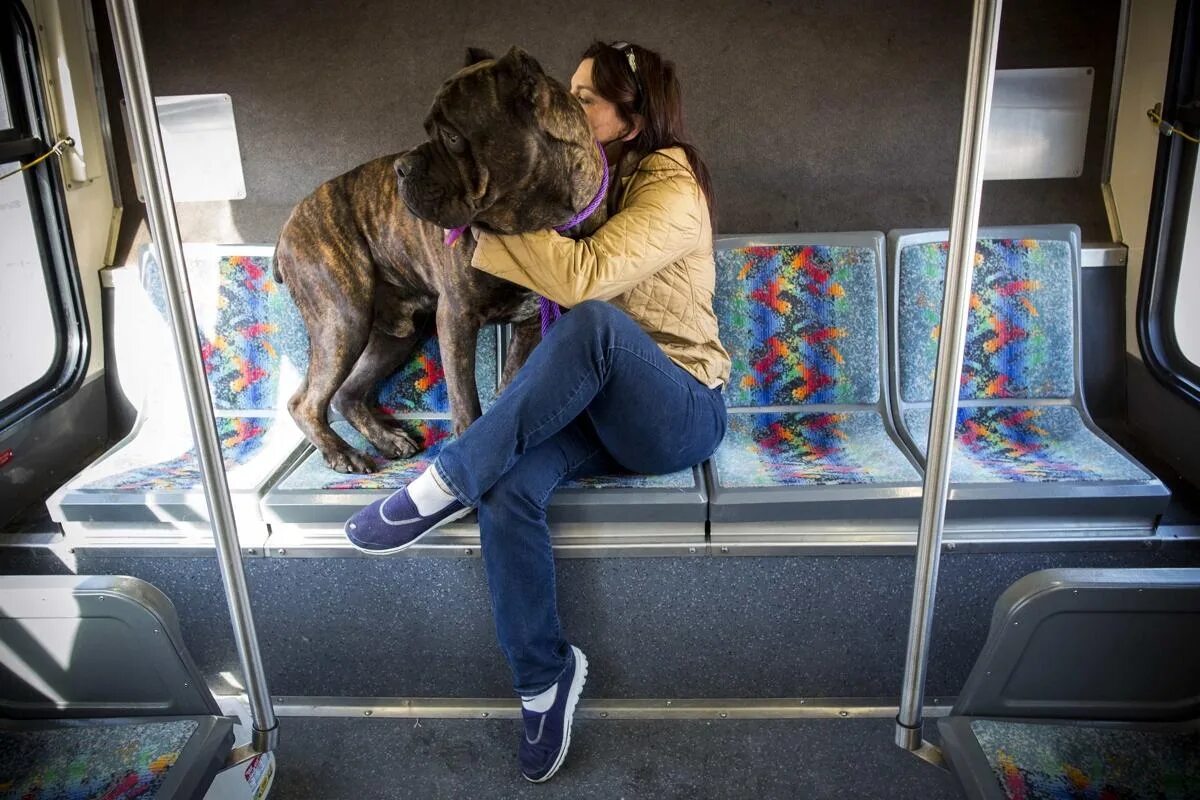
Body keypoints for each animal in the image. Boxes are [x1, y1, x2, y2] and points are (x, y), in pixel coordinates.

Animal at [276, 48, 604, 474]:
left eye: (451, 136)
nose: (401, 167)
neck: (534, 226)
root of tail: (289, 223)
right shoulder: (457, 317)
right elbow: (465, 399)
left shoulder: (531, 322)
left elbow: (514, 384)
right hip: (342, 319)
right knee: (306, 401)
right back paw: (343, 453)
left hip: (395, 335)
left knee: (347, 392)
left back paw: (386, 438)